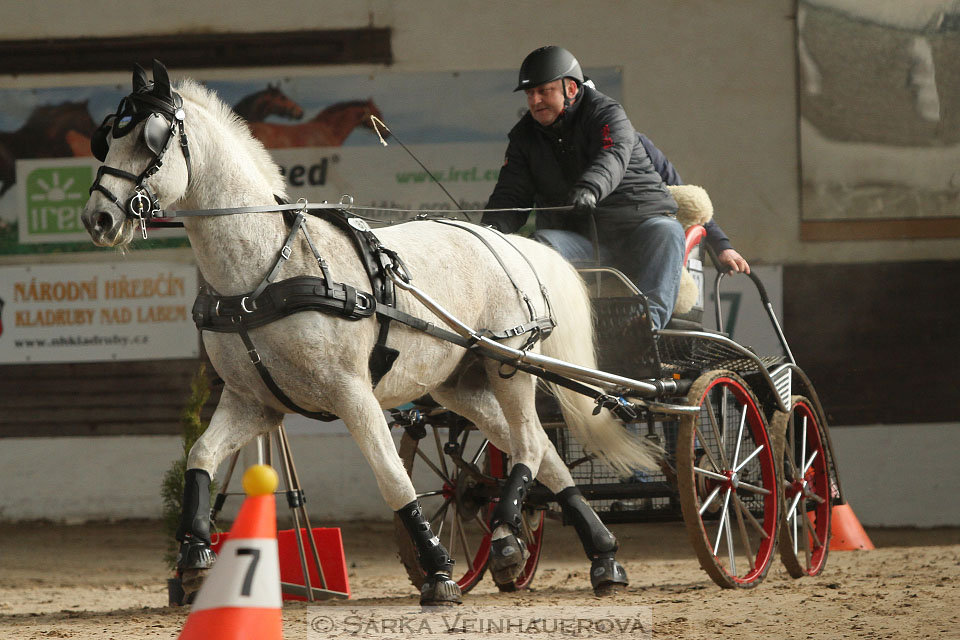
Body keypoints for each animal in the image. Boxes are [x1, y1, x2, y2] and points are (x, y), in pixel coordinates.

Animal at [82, 62, 660, 608]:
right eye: (107, 138)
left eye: (148, 138)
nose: (98, 219)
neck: (264, 271)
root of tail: (503, 238)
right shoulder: (253, 402)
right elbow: (200, 457)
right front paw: (195, 557)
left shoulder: (351, 392)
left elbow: (391, 475)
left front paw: (439, 571)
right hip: (461, 383)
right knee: (540, 449)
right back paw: (599, 555)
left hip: (509, 364)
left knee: (528, 445)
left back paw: (506, 536)